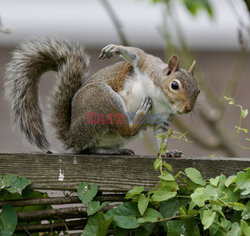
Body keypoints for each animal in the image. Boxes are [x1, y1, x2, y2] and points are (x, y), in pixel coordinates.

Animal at [3, 37, 199, 155]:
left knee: (93, 149)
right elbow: (136, 54)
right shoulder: (146, 64)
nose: (188, 109)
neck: (161, 98)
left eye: (198, 91)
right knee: (124, 129)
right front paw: (115, 48)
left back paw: (115, 151)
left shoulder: (163, 118)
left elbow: (161, 137)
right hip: (103, 100)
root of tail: (73, 135)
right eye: (175, 85)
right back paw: (140, 115)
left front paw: (167, 152)